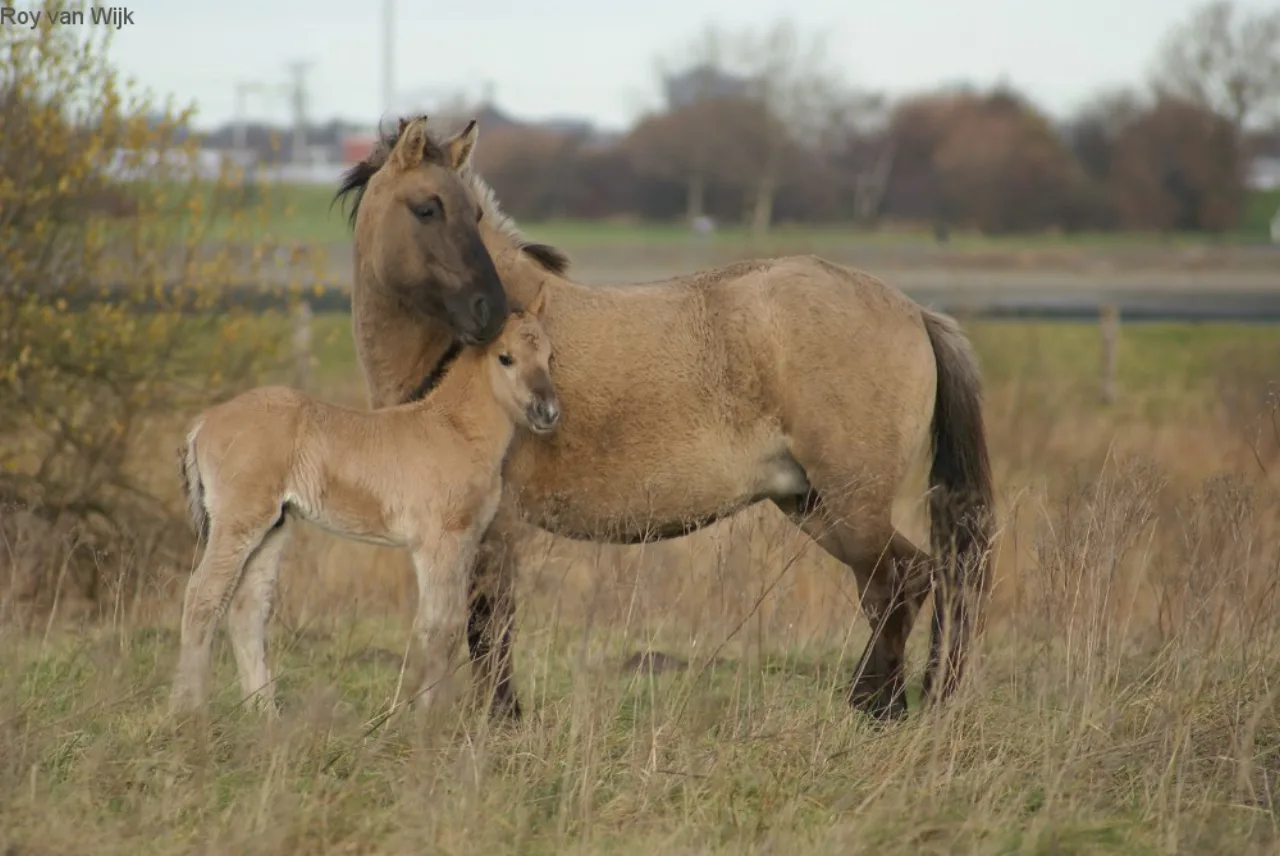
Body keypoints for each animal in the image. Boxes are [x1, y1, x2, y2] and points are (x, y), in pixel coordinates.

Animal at [168, 289, 559, 718]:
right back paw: (188, 711)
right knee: (202, 597)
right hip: (239, 521)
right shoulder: (438, 542)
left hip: (275, 525)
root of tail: (203, 422)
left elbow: (453, 624)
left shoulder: (465, 541)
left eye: (550, 356)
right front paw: (425, 721)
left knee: (247, 609)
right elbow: (439, 627)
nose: (548, 412)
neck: (453, 429)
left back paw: (264, 716)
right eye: (505, 357)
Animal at [333, 114, 995, 722]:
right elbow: (481, 623)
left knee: (900, 582)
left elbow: (488, 621)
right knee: (909, 582)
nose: (492, 314)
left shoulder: (494, 526)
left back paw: (878, 707)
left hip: (853, 503)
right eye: (426, 208)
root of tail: (914, 311)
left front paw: (503, 719)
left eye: (471, 215)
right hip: (814, 504)